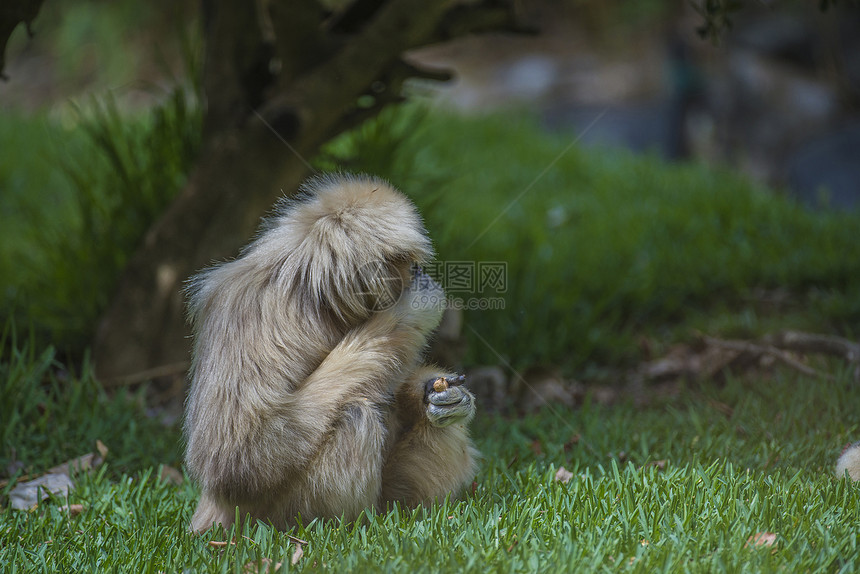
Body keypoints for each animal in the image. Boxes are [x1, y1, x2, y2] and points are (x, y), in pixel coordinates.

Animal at [185, 173, 480, 532]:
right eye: (409, 266)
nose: (418, 271)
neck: (315, 300)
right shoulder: (250, 307)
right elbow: (233, 461)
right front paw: (411, 310)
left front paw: (437, 394)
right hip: (272, 515)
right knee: (355, 414)